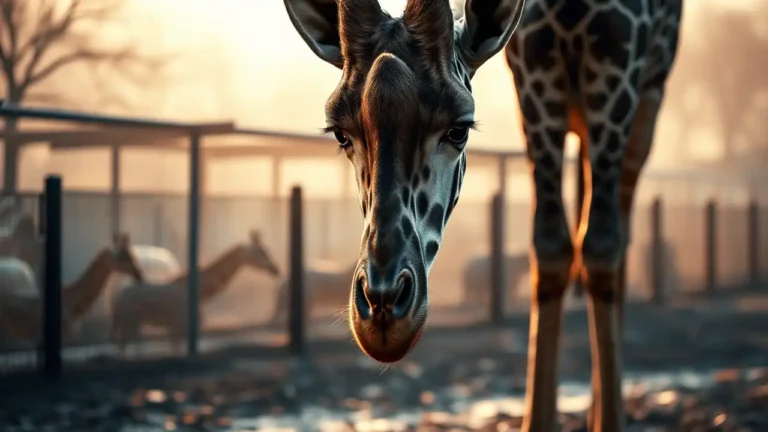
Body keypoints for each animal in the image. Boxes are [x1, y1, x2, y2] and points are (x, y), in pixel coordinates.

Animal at [284, 0, 681, 430]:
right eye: (340, 134)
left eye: (459, 129)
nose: (383, 315)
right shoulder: (532, 69)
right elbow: (550, 245)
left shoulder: (619, 58)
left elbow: (601, 245)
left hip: (645, 100)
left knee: (616, 231)